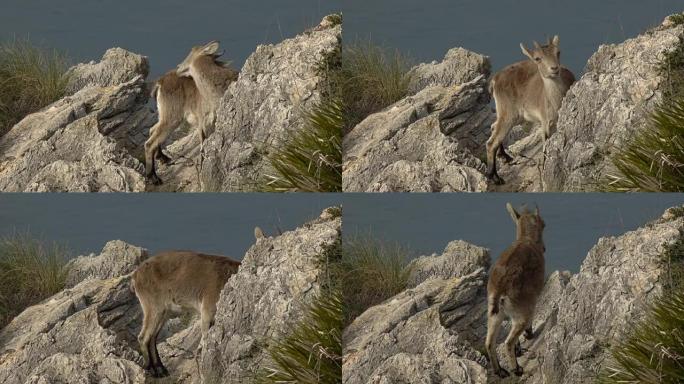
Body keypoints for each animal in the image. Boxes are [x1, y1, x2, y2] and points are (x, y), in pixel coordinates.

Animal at [132, 249, 242, 378]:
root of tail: (136, 275)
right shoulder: (208, 307)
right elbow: (205, 338)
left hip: (165, 312)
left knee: (153, 337)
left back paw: (161, 369)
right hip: (153, 306)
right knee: (143, 337)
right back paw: (152, 370)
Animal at [146, 41, 239, 185]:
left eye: (192, 50)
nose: (179, 67)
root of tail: (159, 83)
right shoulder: (203, 121)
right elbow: (203, 144)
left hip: (166, 116)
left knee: (152, 132)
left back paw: (163, 159)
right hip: (171, 117)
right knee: (150, 141)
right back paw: (153, 177)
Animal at [484, 202, 548, 376]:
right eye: (544, 224)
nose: (544, 248)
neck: (526, 240)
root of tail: (500, 288)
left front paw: (519, 349)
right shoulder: (531, 300)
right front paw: (529, 334)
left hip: (495, 313)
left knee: (489, 342)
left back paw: (500, 371)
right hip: (520, 310)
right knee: (508, 341)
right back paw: (517, 369)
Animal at [486, 36, 576, 184]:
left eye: (558, 52)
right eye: (537, 58)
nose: (554, 68)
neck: (556, 101)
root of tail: (495, 80)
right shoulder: (546, 122)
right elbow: (545, 146)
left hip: (514, 116)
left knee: (493, 127)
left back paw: (505, 157)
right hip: (508, 114)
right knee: (491, 142)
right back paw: (494, 177)